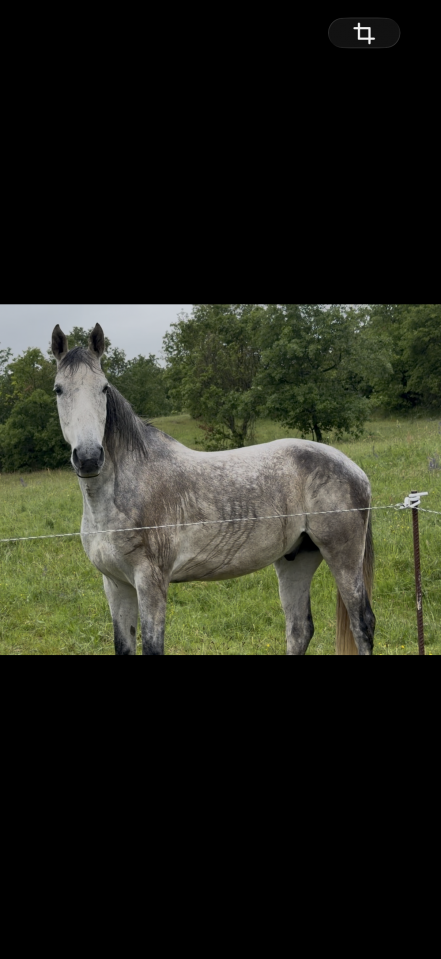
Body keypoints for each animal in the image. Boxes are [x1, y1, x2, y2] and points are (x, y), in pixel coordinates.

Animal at [51, 323, 375, 655]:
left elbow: (153, 647)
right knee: (300, 629)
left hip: (343, 556)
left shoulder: (150, 583)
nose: (89, 457)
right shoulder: (116, 585)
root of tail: (354, 469)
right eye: (58, 389)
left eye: (103, 388)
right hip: (296, 559)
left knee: (362, 624)